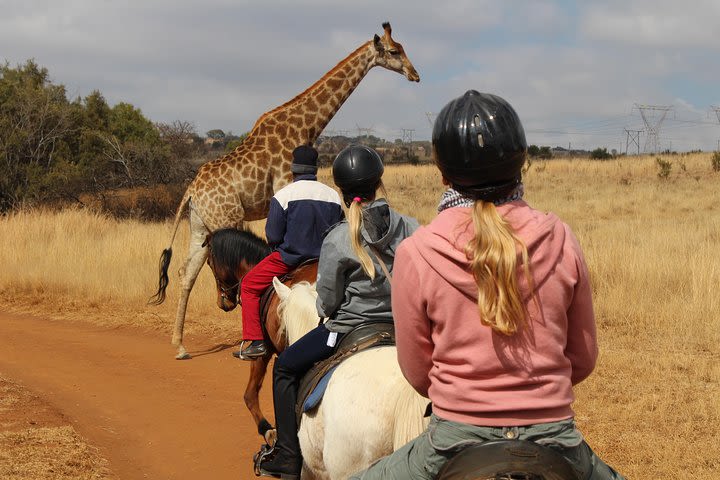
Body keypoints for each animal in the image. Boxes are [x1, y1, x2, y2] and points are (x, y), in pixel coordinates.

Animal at [153, 23, 422, 360]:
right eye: (395, 51)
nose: (415, 74)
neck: (304, 126)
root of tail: (191, 190)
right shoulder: (282, 187)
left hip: (200, 225)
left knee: (185, 272)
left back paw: (180, 345)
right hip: (224, 218)